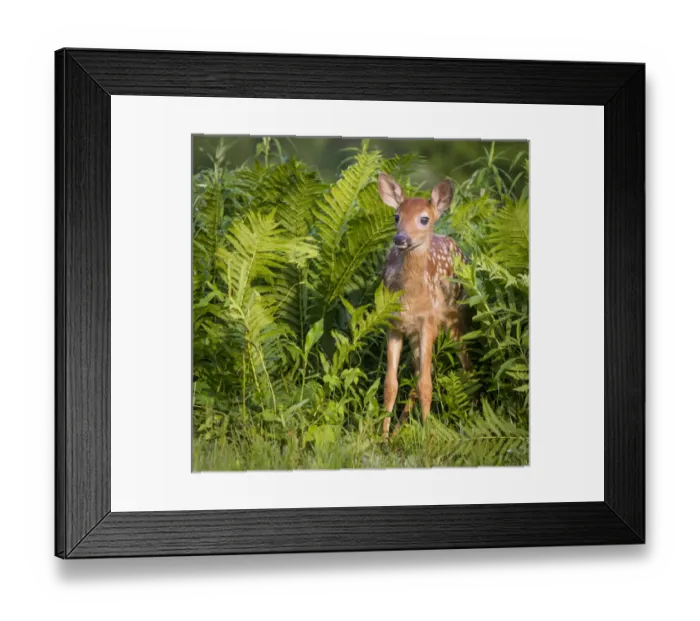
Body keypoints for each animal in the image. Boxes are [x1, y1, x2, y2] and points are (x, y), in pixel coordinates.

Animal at [377, 172, 472, 442]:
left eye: (424, 219)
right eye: (396, 216)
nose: (401, 239)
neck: (409, 299)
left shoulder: (427, 323)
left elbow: (426, 384)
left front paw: (427, 435)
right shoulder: (393, 325)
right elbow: (391, 384)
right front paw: (383, 437)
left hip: (455, 317)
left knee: (465, 363)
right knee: (417, 372)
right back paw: (398, 430)